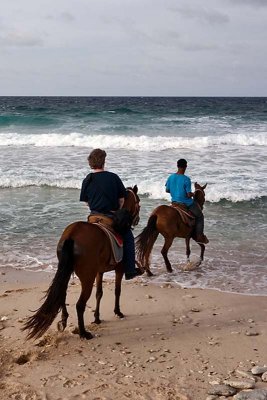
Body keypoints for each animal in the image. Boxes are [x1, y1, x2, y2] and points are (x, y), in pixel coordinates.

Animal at [22, 187, 142, 340]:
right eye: (138, 201)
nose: (137, 220)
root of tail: (71, 235)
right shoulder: (119, 269)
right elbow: (117, 291)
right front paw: (118, 312)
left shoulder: (99, 271)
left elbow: (99, 293)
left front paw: (97, 318)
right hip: (87, 277)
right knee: (80, 304)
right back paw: (83, 332)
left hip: (68, 271)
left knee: (62, 295)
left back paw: (64, 321)